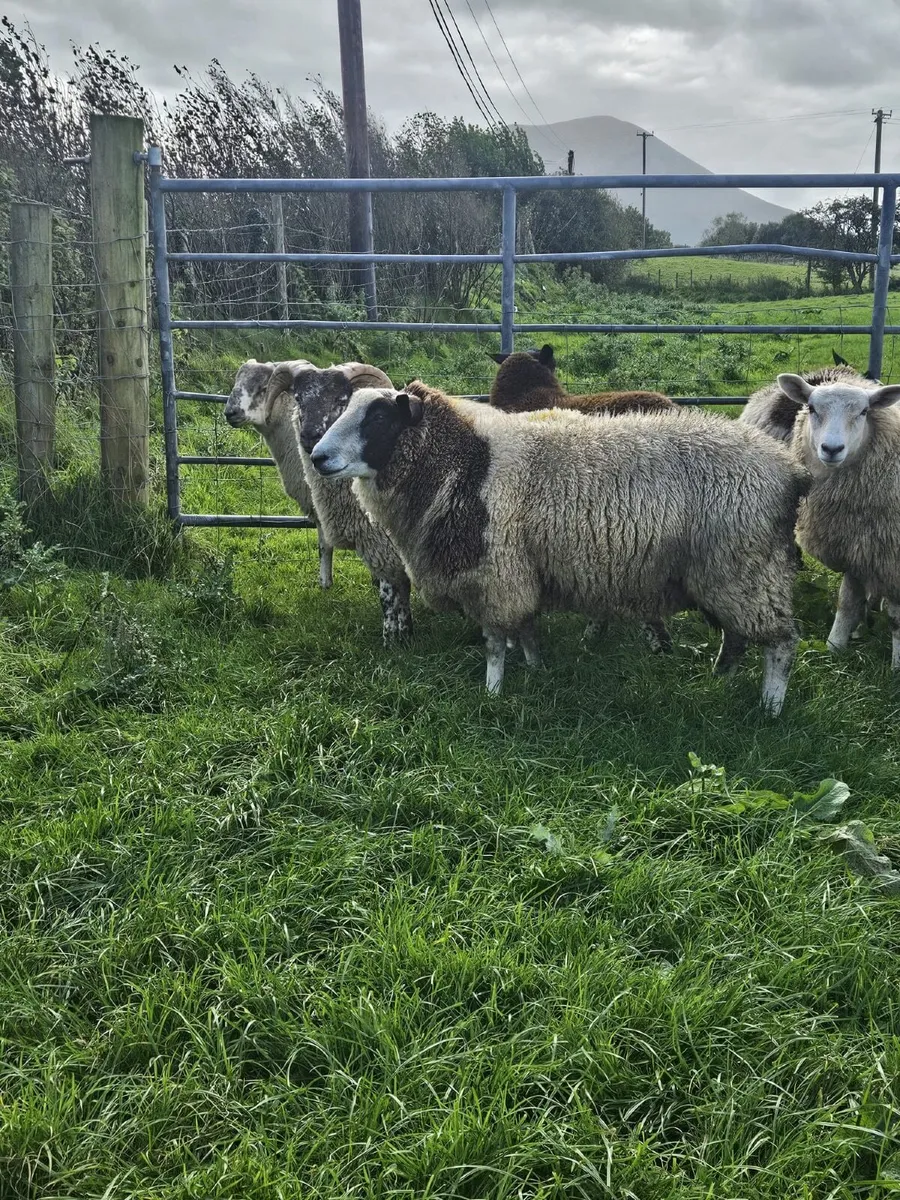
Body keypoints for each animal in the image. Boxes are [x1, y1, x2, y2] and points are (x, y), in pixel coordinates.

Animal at [263, 360, 414, 644]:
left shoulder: (385, 547)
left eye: (341, 400)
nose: (310, 436)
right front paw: (405, 632)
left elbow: (389, 595)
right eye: (298, 398)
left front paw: (391, 640)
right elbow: (401, 593)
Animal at [309, 384, 808, 714]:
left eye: (379, 418)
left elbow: (495, 640)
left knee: (781, 643)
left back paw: (770, 707)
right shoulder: (519, 572)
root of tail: (790, 471)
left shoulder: (496, 571)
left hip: (746, 569)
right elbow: (526, 628)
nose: (317, 457)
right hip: (725, 574)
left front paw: (492, 690)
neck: (464, 461)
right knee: (737, 635)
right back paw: (719, 679)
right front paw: (535, 669)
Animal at [768, 372, 900, 669]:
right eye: (812, 408)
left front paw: (898, 665)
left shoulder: (891, 559)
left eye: (864, 412)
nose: (831, 448)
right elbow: (847, 603)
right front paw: (835, 648)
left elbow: (898, 620)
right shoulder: (856, 547)